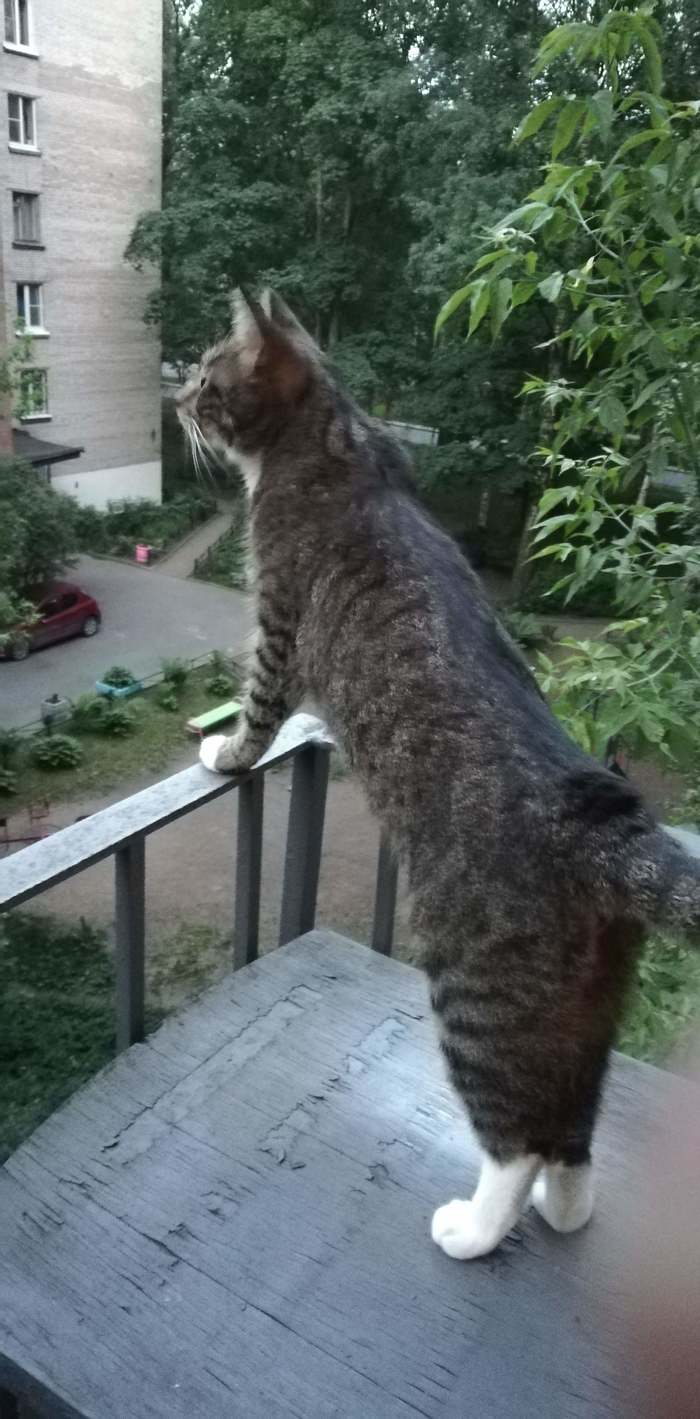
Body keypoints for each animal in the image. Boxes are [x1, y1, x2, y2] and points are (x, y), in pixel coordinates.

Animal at [177, 290, 698, 1265]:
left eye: (207, 376)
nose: (178, 396)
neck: (331, 431)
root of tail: (606, 821)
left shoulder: (278, 623)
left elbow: (257, 709)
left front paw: (226, 751)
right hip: (588, 1009)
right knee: (573, 1131)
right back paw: (564, 1210)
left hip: (476, 986)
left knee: (519, 1134)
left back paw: (474, 1227)